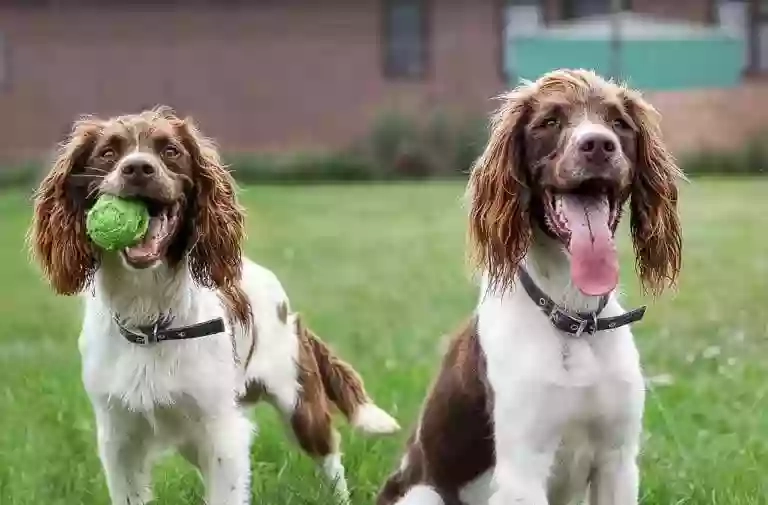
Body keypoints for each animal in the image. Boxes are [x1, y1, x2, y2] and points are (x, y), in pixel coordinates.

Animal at [28, 106, 402, 504]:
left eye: (171, 151)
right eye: (108, 153)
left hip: (301, 405)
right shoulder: (119, 435)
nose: (138, 169)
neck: (151, 318)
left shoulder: (221, 433)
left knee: (330, 459)